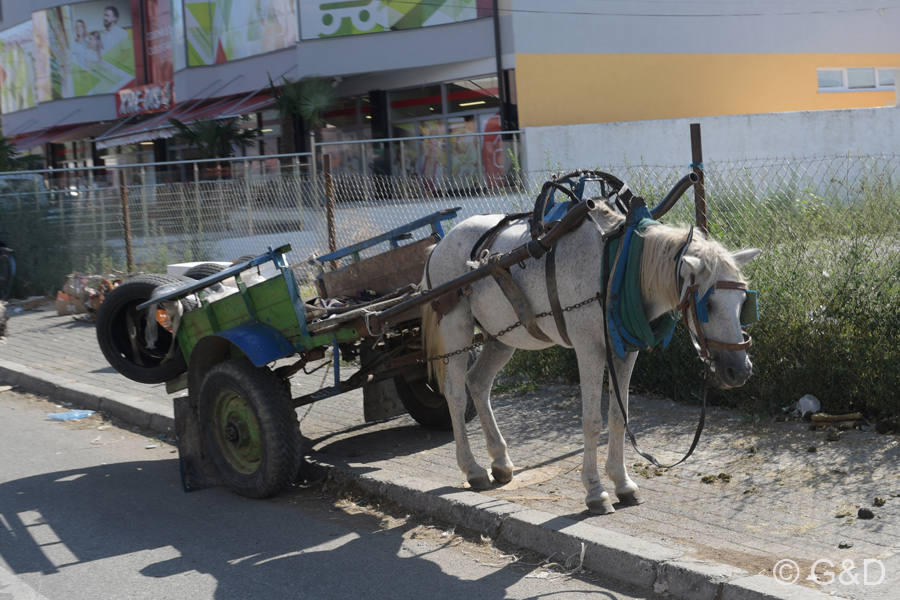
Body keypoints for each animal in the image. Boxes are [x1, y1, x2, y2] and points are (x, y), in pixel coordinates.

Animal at [422, 199, 760, 512]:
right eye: (708, 304)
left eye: (743, 301)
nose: (740, 370)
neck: (618, 266)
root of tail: (440, 244)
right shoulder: (589, 350)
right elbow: (592, 420)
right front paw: (595, 491)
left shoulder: (625, 353)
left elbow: (618, 417)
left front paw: (623, 483)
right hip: (456, 326)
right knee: (455, 392)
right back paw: (472, 469)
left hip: (502, 336)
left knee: (478, 383)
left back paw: (500, 461)